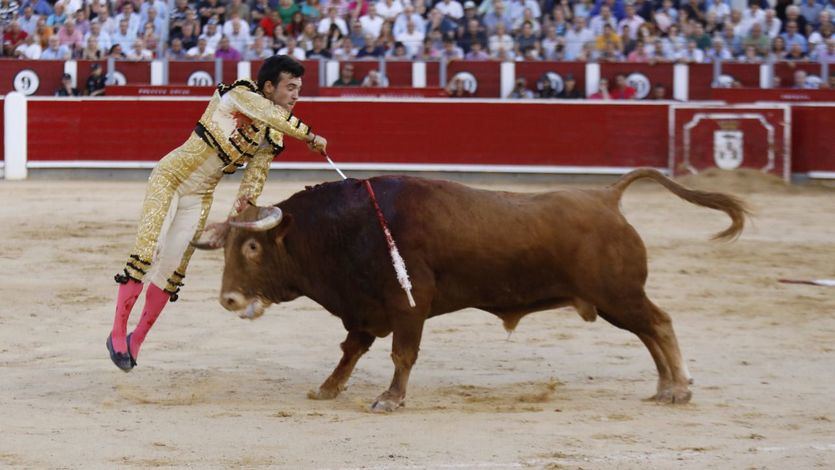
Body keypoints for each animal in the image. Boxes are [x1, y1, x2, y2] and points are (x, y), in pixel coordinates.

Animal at [198, 169, 752, 412]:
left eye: (252, 247)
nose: (229, 300)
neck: (344, 229)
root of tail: (607, 197)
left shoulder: (407, 305)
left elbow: (402, 354)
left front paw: (390, 399)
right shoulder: (366, 308)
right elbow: (350, 350)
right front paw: (328, 388)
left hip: (619, 294)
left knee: (659, 324)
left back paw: (678, 388)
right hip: (616, 300)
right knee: (649, 332)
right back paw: (664, 388)